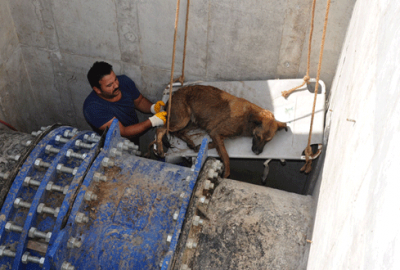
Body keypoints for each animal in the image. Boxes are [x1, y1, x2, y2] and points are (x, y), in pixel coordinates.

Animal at [153, 84, 288, 177]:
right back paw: (160, 149)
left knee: (178, 132)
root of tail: (172, 96)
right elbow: (225, 155)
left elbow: (214, 145)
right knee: (161, 129)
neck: (248, 117)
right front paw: (226, 172)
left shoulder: (216, 134)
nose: (257, 153)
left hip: (193, 122)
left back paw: (190, 142)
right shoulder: (216, 132)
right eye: (258, 137)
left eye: (268, 140)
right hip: (183, 120)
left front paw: (199, 147)